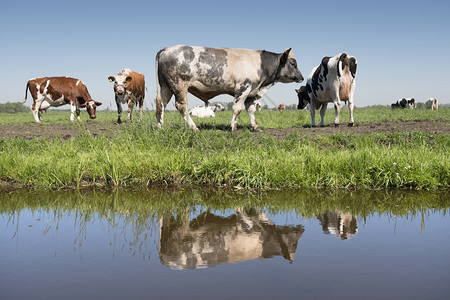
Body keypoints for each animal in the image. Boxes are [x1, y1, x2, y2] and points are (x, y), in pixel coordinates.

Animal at [154, 44, 302, 131]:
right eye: (293, 63)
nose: (301, 77)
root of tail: (166, 49)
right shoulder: (243, 88)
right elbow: (237, 108)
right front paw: (233, 127)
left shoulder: (251, 92)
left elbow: (251, 110)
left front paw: (255, 127)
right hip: (179, 85)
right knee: (181, 106)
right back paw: (194, 127)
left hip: (166, 86)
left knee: (161, 104)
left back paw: (160, 126)